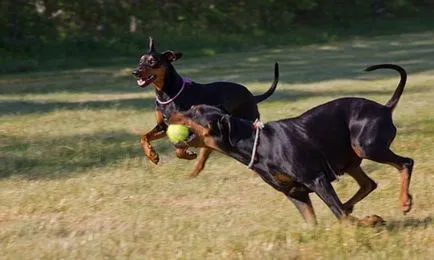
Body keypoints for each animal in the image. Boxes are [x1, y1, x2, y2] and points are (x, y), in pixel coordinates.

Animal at [168, 64, 412, 224]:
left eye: (196, 110)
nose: (169, 114)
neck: (258, 144)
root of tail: (385, 107)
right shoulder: (295, 194)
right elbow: (314, 223)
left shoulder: (317, 179)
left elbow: (340, 215)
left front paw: (370, 220)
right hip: (350, 159)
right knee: (368, 184)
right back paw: (356, 204)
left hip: (366, 146)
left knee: (406, 163)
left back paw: (404, 202)